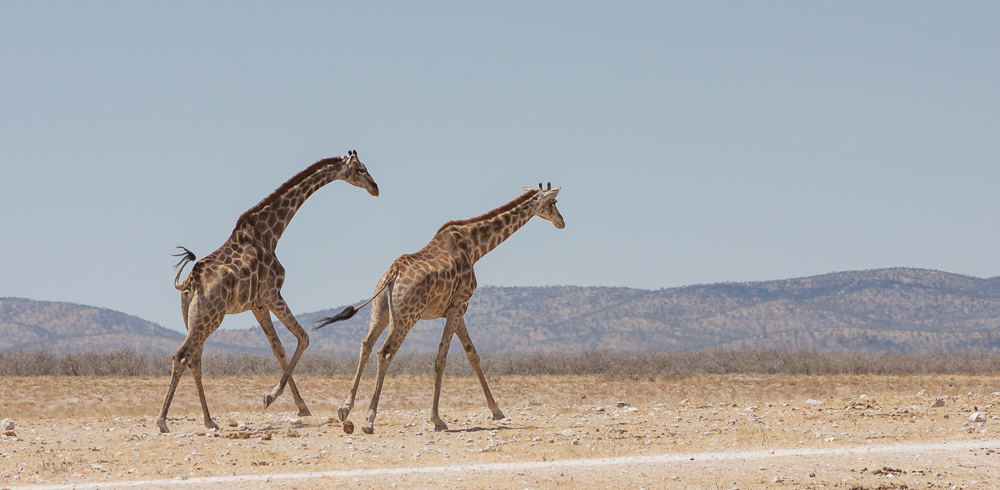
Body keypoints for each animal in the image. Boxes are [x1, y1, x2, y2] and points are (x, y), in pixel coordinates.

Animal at [156, 150, 378, 432]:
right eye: (361, 169)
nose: (375, 188)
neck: (270, 232)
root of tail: (190, 282)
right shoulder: (273, 294)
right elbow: (304, 337)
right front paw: (271, 397)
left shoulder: (258, 305)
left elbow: (278, 347)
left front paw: (300, 406)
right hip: (210, 317)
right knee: (181, 357)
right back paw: (163, 421)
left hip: (193, 318)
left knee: (194, 360)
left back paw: (209, 420)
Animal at [316, 183, 564, 432]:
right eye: (553, 203)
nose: (561, 221)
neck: (474, 247)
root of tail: (392, 274)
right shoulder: (460, 304)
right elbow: (441, 359)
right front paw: (437, 418)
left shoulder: (455, 308)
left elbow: (473, 355)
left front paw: (497, 411)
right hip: (407, 315)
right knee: (384, 352)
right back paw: (369, 419)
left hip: (381, 310)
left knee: (366, 345)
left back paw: (345, 408)